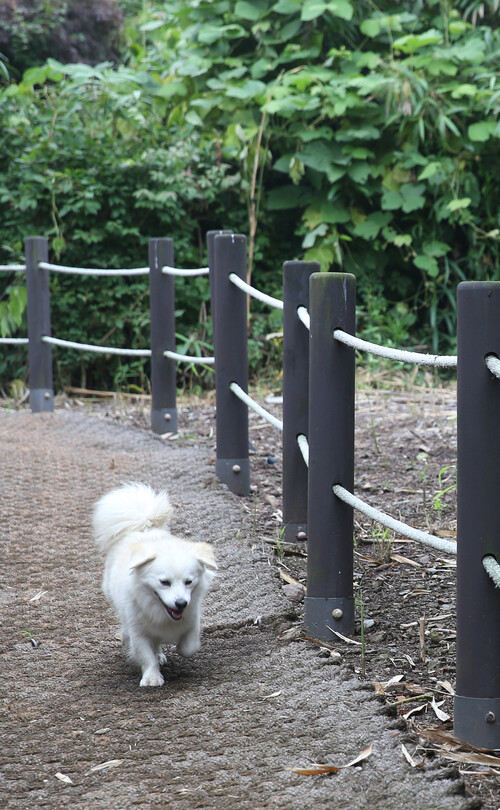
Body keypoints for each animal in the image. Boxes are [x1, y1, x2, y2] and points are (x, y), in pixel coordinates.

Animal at [93, 482, 217, 684]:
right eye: (164, 582)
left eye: (189, 582)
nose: (181, 603)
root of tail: (142, 527)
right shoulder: (139, 632)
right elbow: (146, 656)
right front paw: (152, 677)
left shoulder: (192, 620)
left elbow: (189, 647)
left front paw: (178, 649)